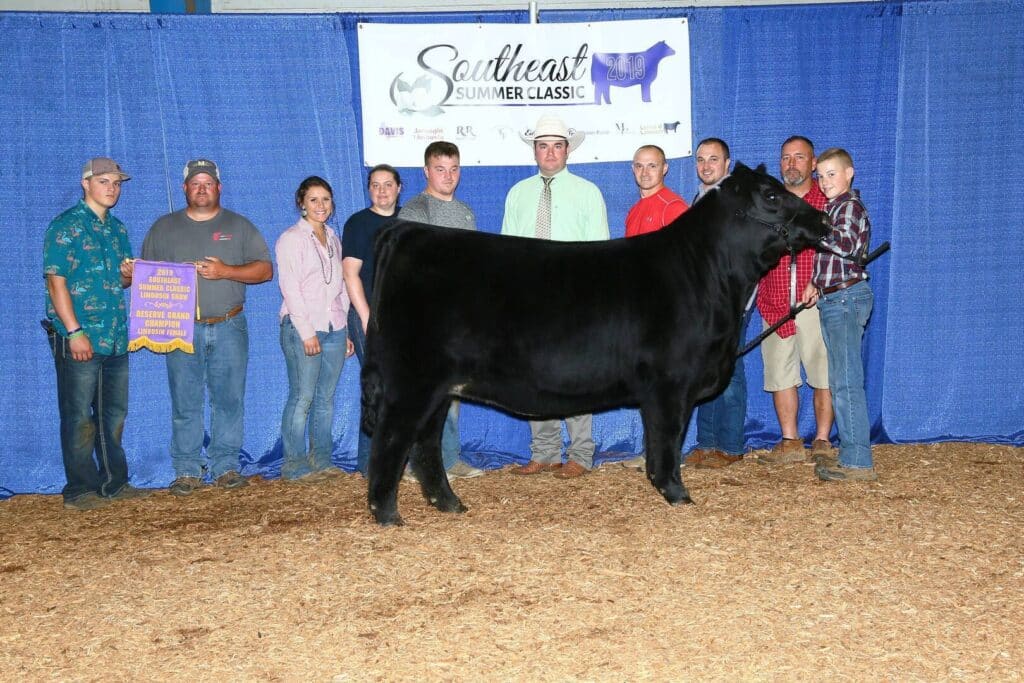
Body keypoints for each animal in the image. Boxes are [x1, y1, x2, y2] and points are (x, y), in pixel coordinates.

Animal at [361, 163, 828, 526]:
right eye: (771, 195)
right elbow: (667, 442)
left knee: (425, 444)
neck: (705, 273)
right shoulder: (670, 384)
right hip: (412, 381)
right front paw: (677, 494)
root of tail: (407, 230)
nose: (823, 219)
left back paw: (449, 504)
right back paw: (387, 513)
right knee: (392, 439)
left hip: (440, 387)